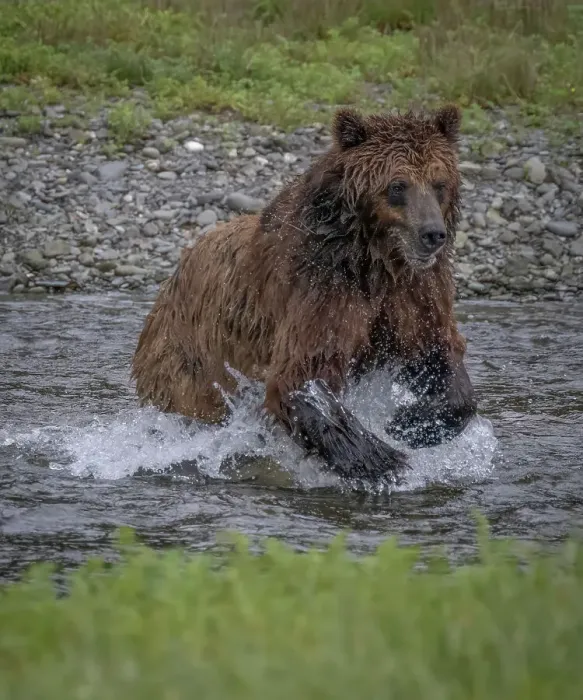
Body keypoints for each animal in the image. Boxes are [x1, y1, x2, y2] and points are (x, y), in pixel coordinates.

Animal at [130, 104, 477, 485]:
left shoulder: (415, 292)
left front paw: (411, 424)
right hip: (189, 362)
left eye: (439, 183)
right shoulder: (322, 290)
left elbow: (435, 352)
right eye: (398, 185)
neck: (375, 261)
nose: (433, 234)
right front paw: (383, 459)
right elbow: (303, 375)